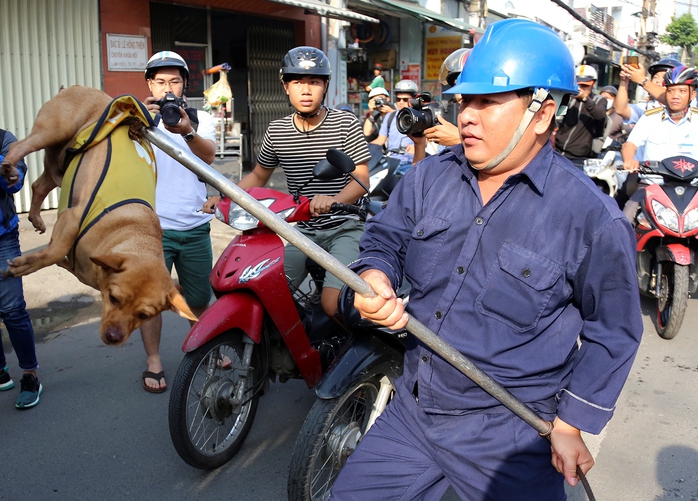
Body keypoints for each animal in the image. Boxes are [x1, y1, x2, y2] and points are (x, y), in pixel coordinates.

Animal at [2, 86, 196, 344]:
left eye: (144, 316)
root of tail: (83, 88)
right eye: (113, 299)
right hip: (52, 131)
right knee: (19, 148)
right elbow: (55, 251)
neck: (132, 233)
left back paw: (35, 215)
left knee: (38, 185)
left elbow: (58, 256)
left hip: (59, 166)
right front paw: (22, 267)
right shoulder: (71, 217)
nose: (114, 337)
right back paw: (10, 168)